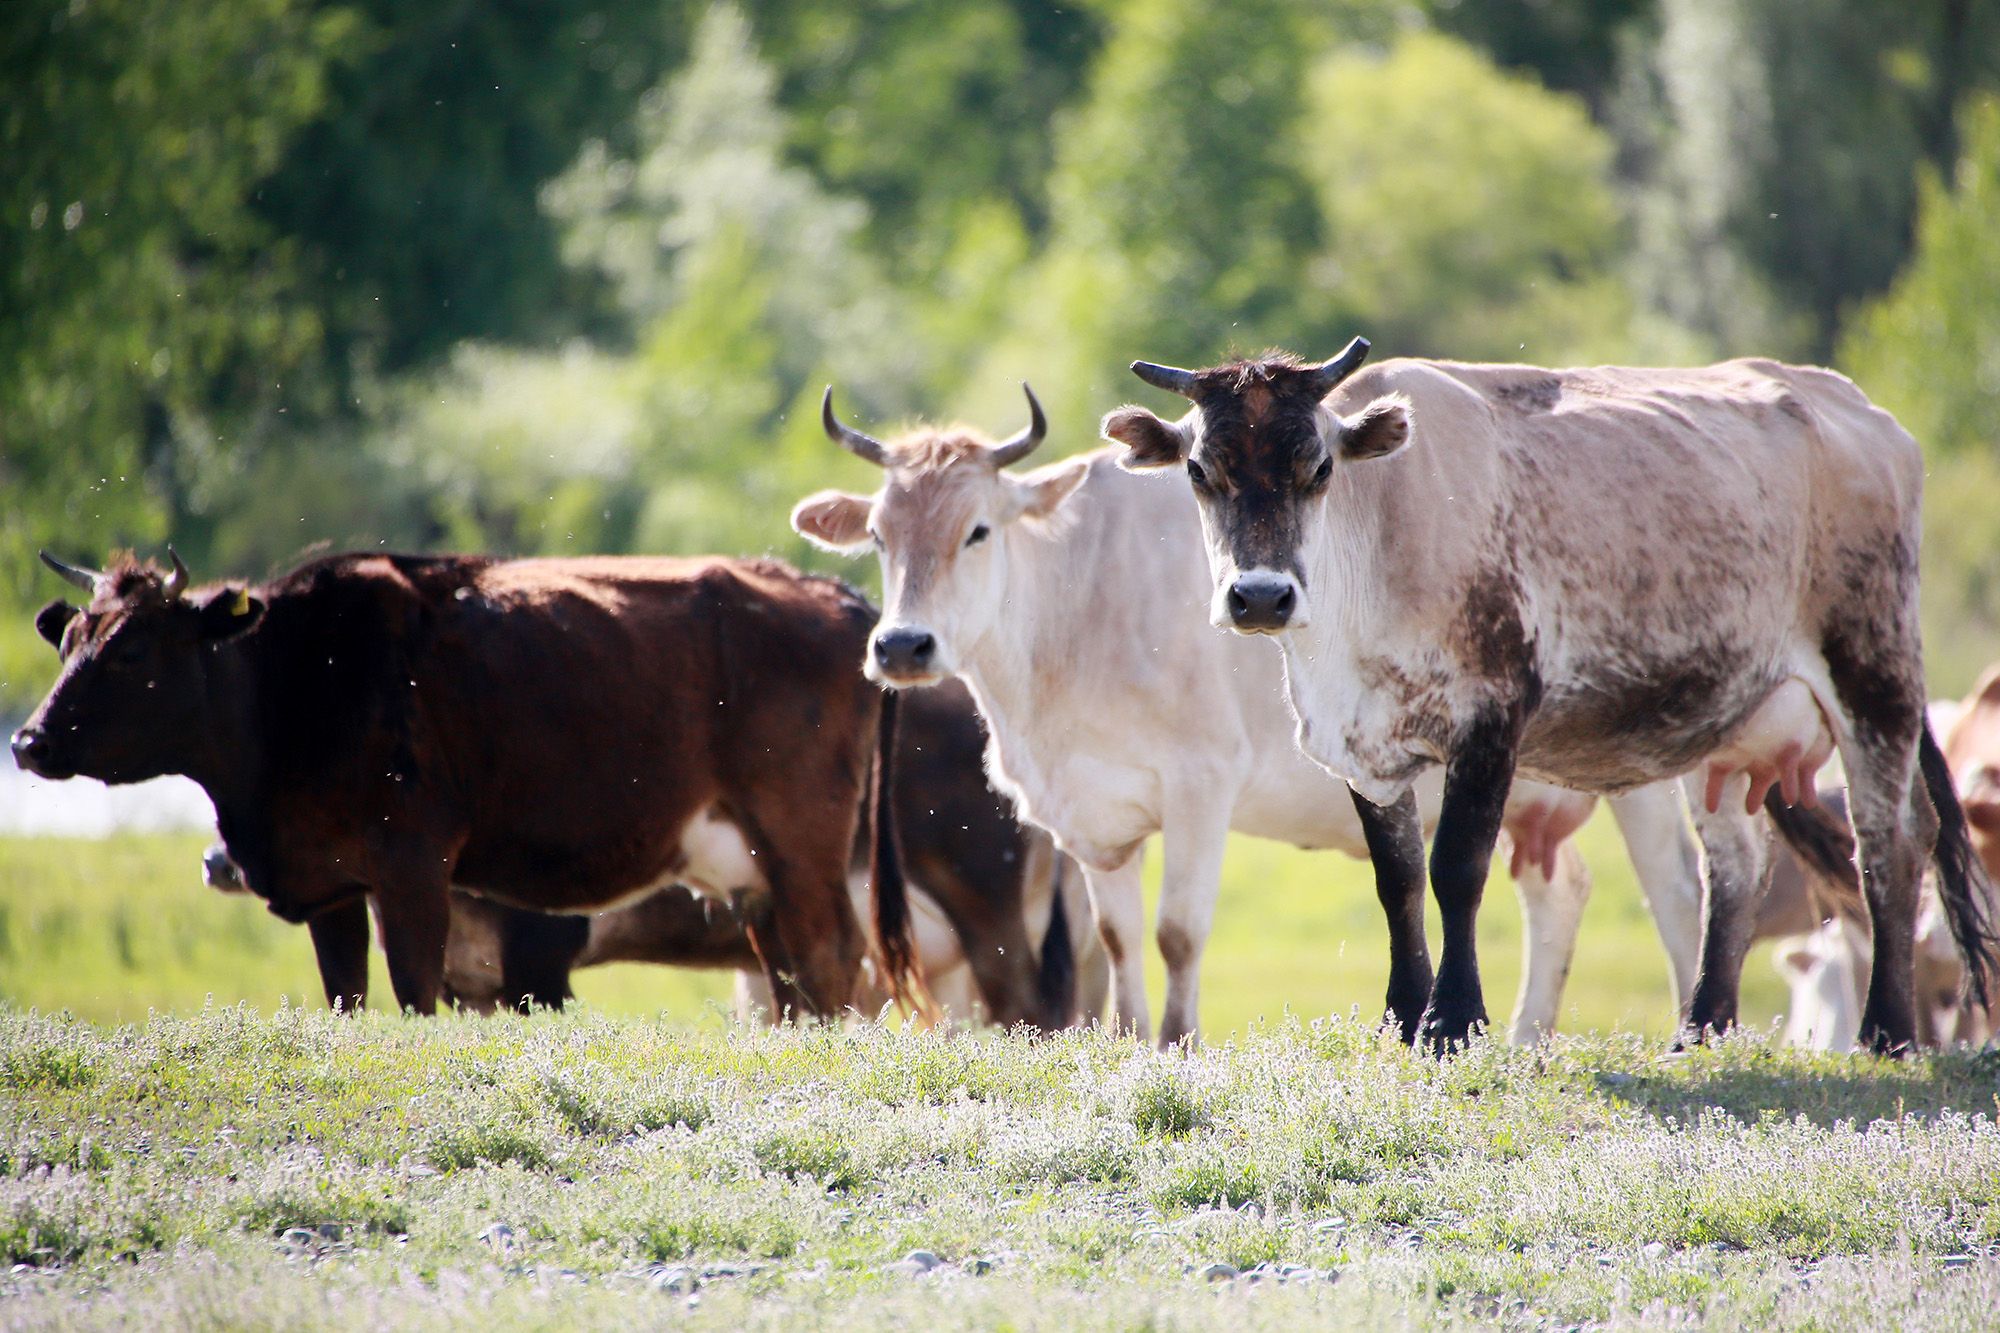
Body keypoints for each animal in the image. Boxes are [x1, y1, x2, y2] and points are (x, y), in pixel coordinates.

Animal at [13, 544, 908, 1012]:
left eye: (131, 647)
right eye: (71, 641)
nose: (28, 739)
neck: (292, 680)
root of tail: (835, 595)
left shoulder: (413, 868)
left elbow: (414, 992)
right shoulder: (330, 887)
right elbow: (347, 997)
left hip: (802, 839)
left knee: (832, 955)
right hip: (754, 872)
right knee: (792, 973)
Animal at [796, 378, 1720, 1040]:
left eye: (978, 530)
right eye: (878, 536)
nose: (903, 646)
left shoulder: (1201, 781)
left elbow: (1177, 931)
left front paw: (1179, 1043)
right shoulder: (1092, 817)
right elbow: (1119, 940)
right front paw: (1130, 1043)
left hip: (1637, 766)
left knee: (1678, 888)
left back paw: (1687, 1028)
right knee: (1559, 890)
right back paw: (1528, 1037)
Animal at [1112, 334, 2000, 1048]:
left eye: (1319, 467)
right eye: (1199, 470)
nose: (1260, 596)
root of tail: (1857, 408)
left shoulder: (1491, 717)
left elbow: (1457, 867)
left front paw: (1452, 1020)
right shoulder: (1363, 745)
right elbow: (1397, 880)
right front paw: (1400, 1015)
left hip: (1873, 675)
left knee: (1889, 844)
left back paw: (1887, 1031)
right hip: (1728, 725)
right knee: (1734, 866)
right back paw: (1699, 1030)